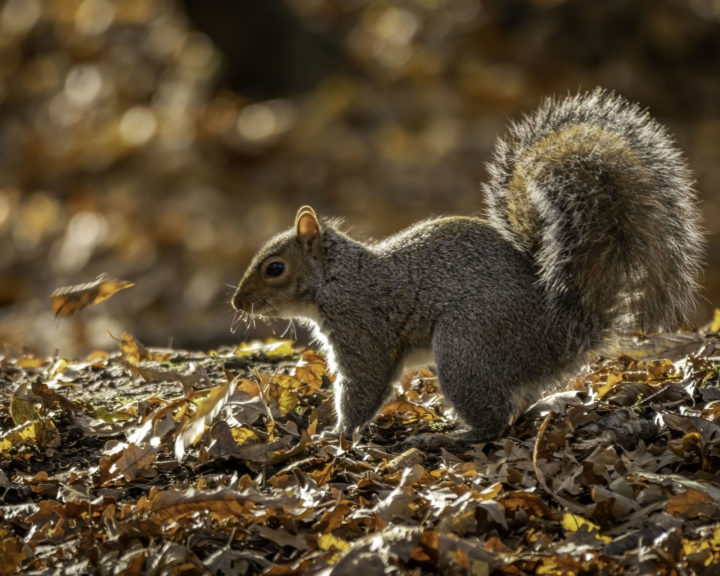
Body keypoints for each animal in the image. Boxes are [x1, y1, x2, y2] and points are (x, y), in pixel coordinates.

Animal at [231, 88, 703, 443]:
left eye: (275, 268)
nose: (237, 303)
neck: (337, 277)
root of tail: (566, 330)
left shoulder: (362, 328)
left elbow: (364, 385)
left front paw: (338, 434)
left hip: (466, 344)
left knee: (495, 422)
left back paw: (451, 436)